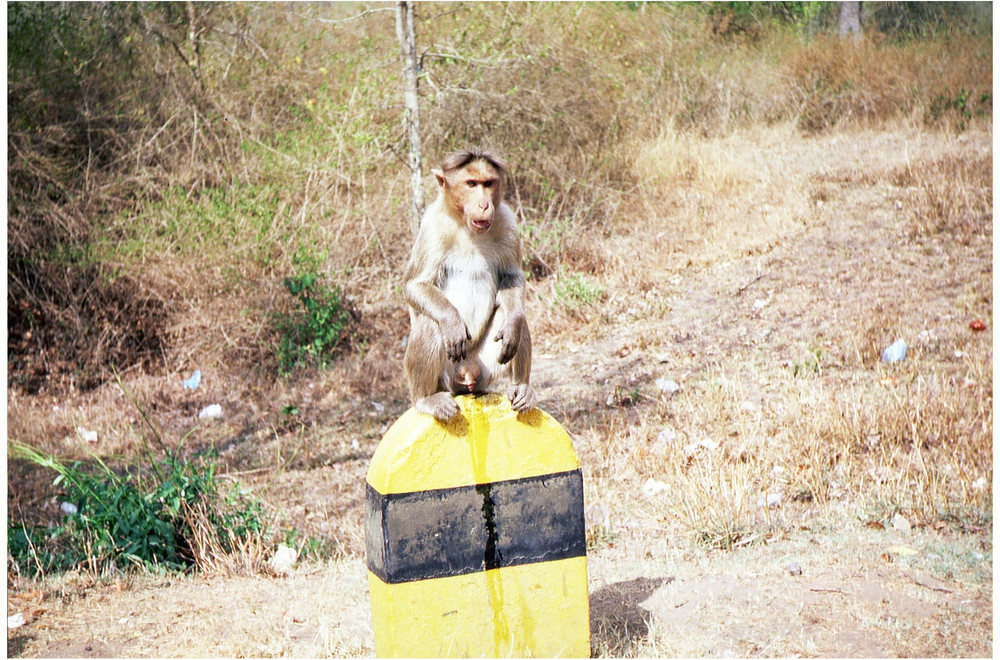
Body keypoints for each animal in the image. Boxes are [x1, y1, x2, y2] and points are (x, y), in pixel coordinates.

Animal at [402, 148, 536, 422]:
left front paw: (513, 324)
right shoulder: (431, 227)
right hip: (448, 376)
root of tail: (467, 374)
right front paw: (451, 321)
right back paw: (425, 399)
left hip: (485, 367)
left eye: (488, 183)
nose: (484, 204)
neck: (465, 224)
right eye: (471, 184)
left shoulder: (506, 219)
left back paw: (521, 386)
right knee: (430, 322)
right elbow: (415, 285)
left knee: (513, 318)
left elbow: (512, 276)